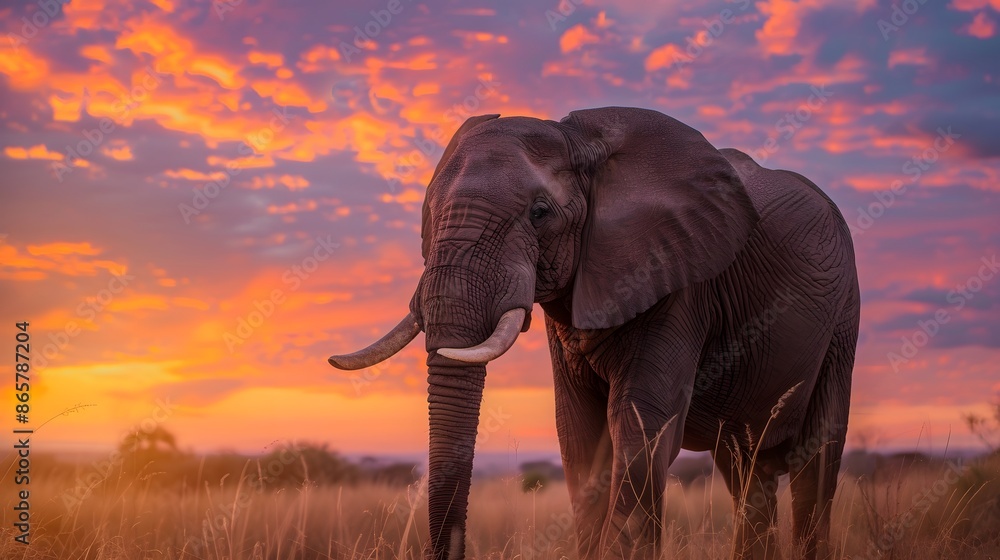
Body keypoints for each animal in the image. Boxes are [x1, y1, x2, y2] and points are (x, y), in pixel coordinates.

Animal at [328, 107, 860, 560]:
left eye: (540, 213)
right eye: (428, 213)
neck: (579, 139)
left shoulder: (681, 280)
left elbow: (641, 432)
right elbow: (579, 437)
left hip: (843, 319)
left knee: (816, 466)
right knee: (747, 473)